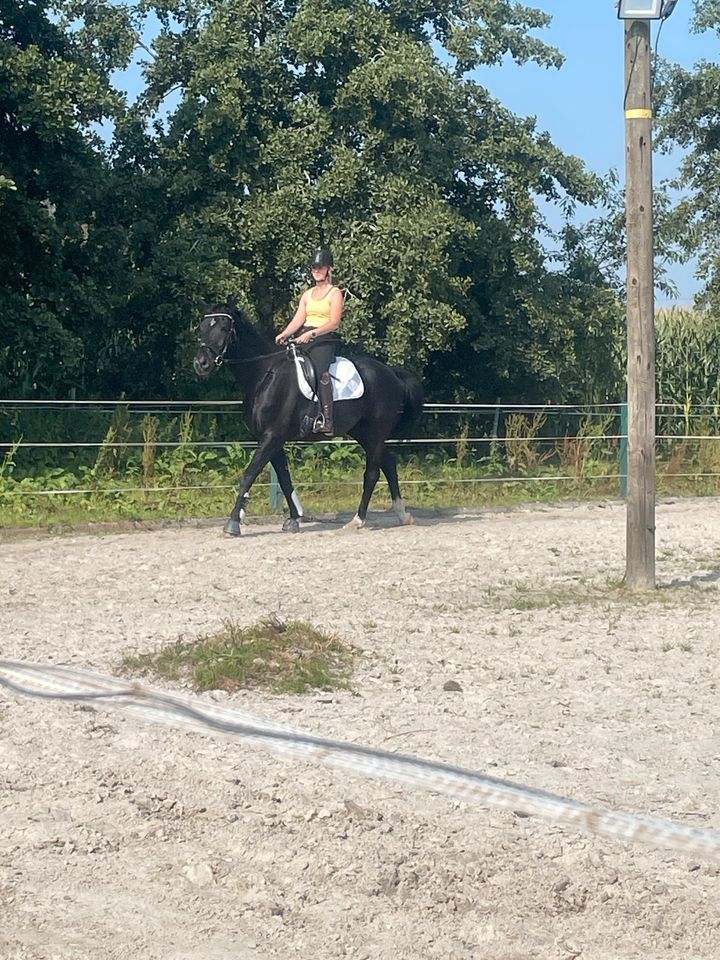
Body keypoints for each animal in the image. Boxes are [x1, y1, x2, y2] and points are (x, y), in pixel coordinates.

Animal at [194, 304, 424, 536]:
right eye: (202, 327)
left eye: (224, 328)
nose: (201, 364)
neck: (265, 376)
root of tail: (391, 373)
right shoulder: (271, 439)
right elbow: (284, 478)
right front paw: (294, 519)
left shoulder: (272, 436)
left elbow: (250, 474)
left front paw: (233, 523)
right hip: (364, 434)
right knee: (389, 463)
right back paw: (403, 514)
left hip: (375, 433)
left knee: (372, 474)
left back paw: (357, 520)